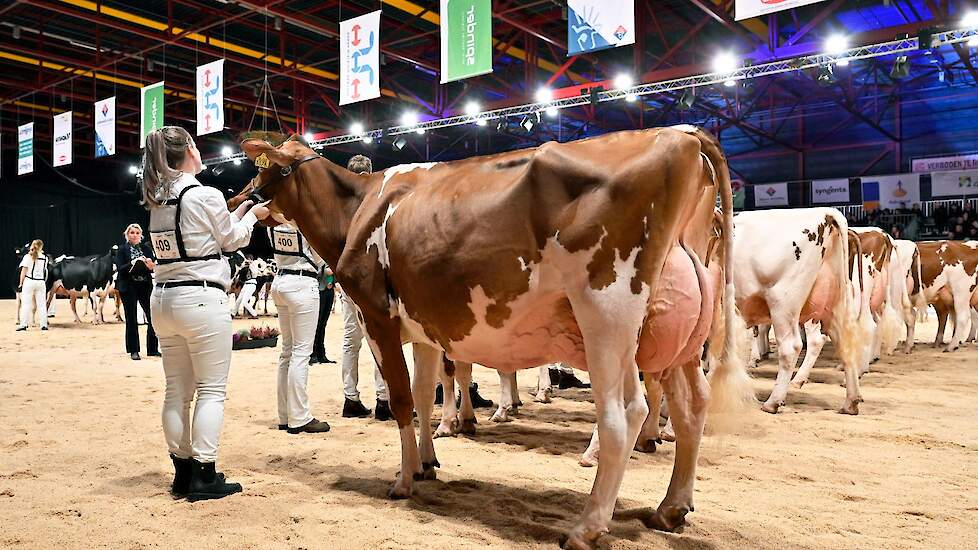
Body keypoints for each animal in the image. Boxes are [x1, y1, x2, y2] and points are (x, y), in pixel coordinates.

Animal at [233, 127, 752, 548]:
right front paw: (426, 462)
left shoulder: (375, 314)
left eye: (264, 170)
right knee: (691, 406)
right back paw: (671, 508)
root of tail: (682, 135)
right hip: (680, 333)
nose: (240, 199)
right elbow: (424, 392)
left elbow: (402, 399)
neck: (356, 209)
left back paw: (586, 527)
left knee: (625, 413)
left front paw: (403, 482)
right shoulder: (424, 328)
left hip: (607, 315)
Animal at [728, 209, 856, 416]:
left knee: (792, 346)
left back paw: (773, 401)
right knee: (844, 344)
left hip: (783, 303)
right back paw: (851, 402)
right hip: (833, 305)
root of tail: (825, 213)